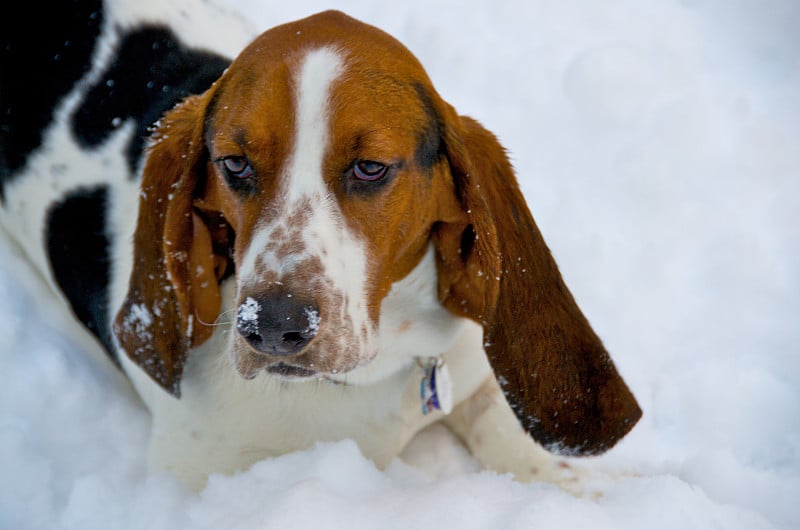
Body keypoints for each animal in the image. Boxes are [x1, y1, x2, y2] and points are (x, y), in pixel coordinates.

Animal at [0, 1, 636, 486]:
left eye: (370, 168)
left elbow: (518, 441)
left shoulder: (471, 373)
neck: (371, 377)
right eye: (234, 163)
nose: (273, 326)